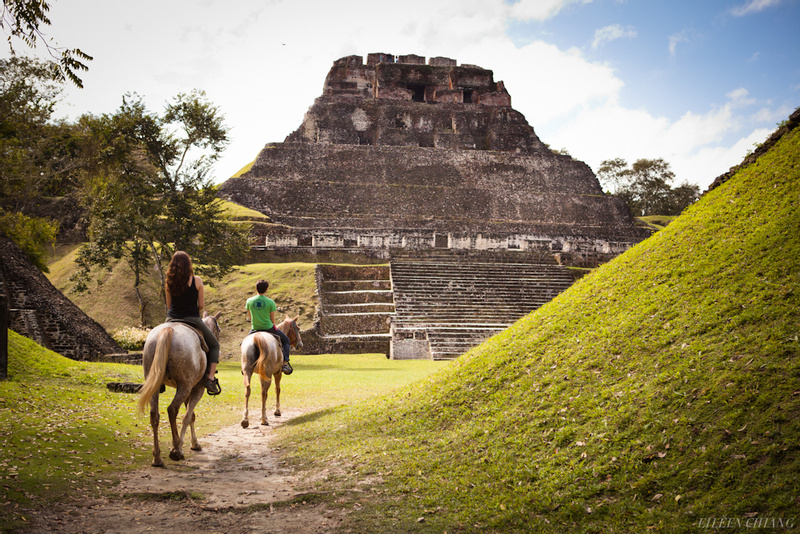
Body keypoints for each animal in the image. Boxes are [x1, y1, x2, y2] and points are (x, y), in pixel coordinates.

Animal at [137, 311, 222, 467]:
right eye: (218, 330)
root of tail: (168, 330)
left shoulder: (189, 391)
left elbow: (191, 416)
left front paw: (194, 444)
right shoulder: (196, 389)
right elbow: (188, 416)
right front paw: (184, 446)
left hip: (156, 385)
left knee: (154, 414)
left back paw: (157, 458)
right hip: (184, 386)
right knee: (172, 410)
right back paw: (176, 449)